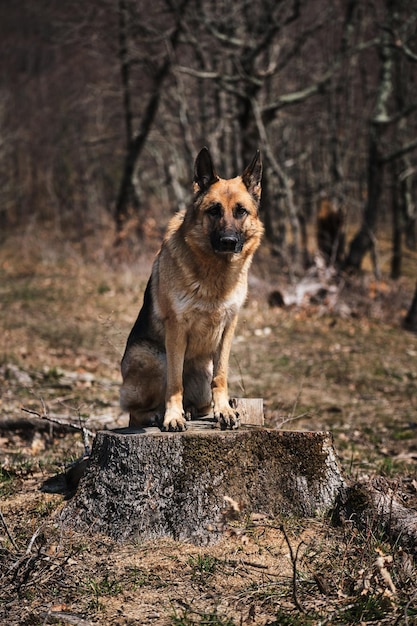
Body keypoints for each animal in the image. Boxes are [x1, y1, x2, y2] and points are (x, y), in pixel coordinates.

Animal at [120, 146, 262, 428]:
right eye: (214, 210)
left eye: (241, 211)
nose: (228, 242)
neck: (215, 272)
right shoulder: (176, 328)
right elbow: (175, 383)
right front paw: (172, 417)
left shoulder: (228, 328)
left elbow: (221, 376)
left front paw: (224, 411)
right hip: (154, 357)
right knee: (136, 411)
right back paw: (159, 414)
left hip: (201, 372)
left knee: (201, 400)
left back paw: (196, 410)